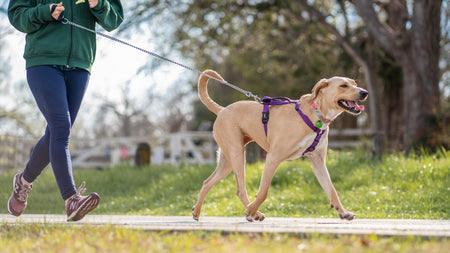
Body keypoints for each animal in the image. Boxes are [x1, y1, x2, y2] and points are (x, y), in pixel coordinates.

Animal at [192, 69, 368, 221]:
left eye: (354, 83)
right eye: (343, 85)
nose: (364, 92)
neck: (316, 115)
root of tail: (222, 110)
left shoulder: (318, 162)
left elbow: (331, 190)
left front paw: (343, 212)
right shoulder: (273, 157)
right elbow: (263, 192)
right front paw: (250, 211)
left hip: (227, 161)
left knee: (207, 182)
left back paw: (197, 211)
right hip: (237, 155)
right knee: (240, 190)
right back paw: (253, 212)